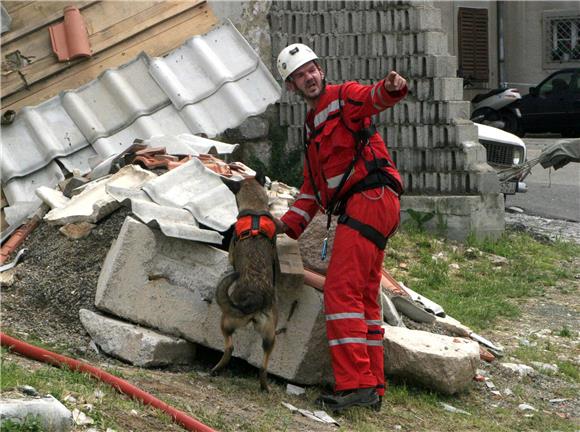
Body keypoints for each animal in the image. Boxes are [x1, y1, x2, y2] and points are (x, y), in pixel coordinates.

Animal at [212, 174, 280, 394]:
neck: (255, 211)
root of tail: (256, 300)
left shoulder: (232, 251)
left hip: (226, 320)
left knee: (229, 347)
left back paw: (216, 369)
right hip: (270, 335)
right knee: (263, 366)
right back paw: (264, 386)